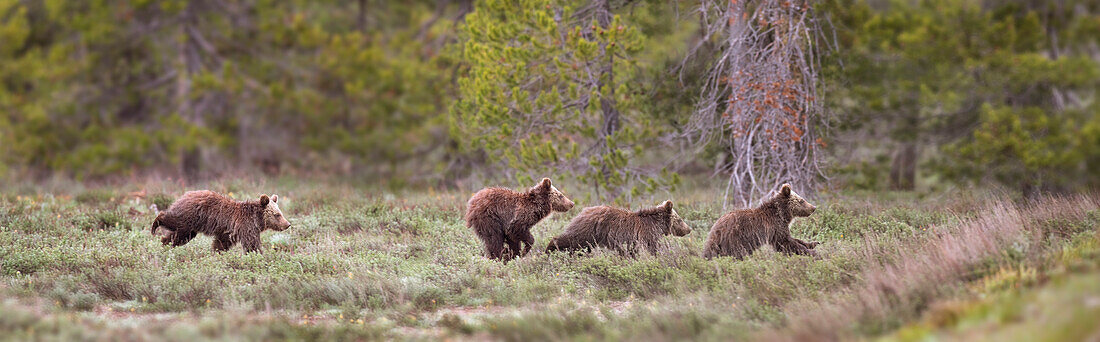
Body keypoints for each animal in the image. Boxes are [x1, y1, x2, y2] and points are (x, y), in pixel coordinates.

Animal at [150, 191, 290, 252]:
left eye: (281, 213)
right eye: (277, 214)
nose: (287, 224)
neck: (257, 219)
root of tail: (186, 194)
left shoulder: (228, 232)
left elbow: (221, 243)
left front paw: (216, 252)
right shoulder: (246, 226)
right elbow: (252, 244)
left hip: (191, 227)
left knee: (179, 236)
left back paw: (165, 243)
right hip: (190, 216)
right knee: (174, 221)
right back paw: (155, 224)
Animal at [547, 201, 690, 257]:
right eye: (680, 219)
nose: (689, 229)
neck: (657, 224)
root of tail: (583, 210)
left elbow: (631, 252)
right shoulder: (646, 234)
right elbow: (651, 248)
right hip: (588, 230)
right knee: (571, 239)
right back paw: (549, 249)